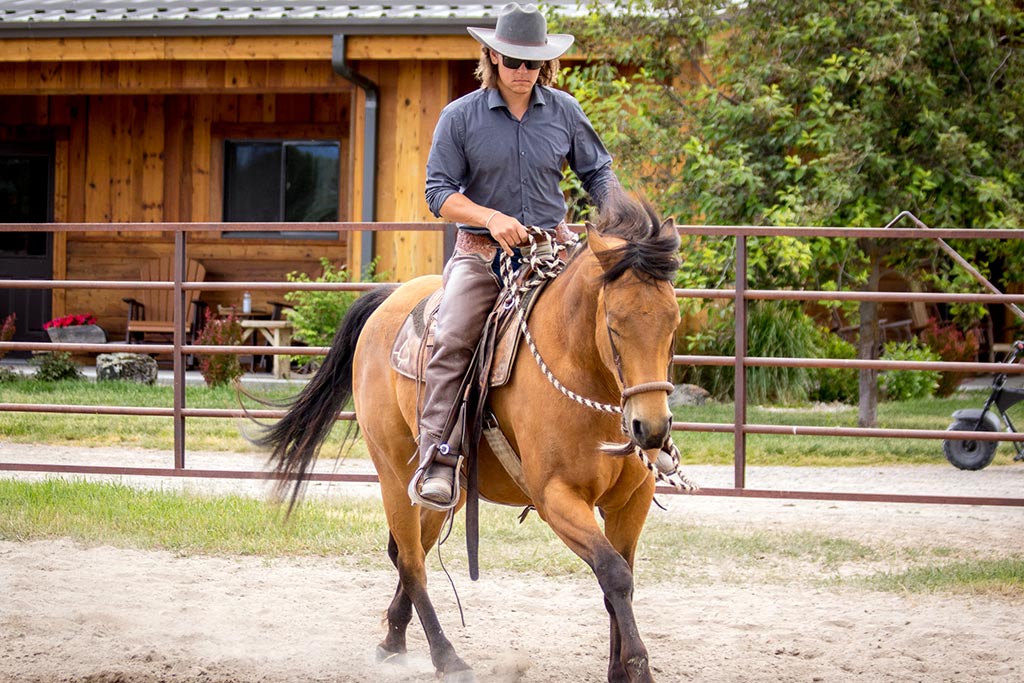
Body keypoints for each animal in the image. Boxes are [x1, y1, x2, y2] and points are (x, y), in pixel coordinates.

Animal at [260, 193, 684, 683]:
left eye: (673, 324)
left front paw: (619, 669)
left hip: (446, 489)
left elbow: (620, 577)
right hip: (393, 472)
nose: (651, 428)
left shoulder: (630, 502)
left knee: (409, 552)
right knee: (411, 561)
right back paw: (446, 658)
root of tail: (390, 298)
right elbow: (614, 573)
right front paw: (637, 667)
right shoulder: (557, 497)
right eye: (614, 325)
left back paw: (393, 641)